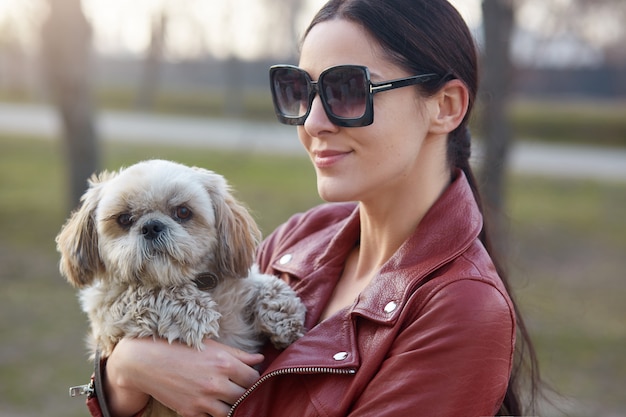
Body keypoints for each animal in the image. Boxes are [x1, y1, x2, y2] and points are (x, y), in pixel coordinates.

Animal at [57, 158, 306, 416]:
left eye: (183, 212)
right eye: (124, 219)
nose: (151, 226)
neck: (189, 281)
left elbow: (263, 284)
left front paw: (284, 315)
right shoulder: (107, 318)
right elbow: (145, 292)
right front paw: (195, 311)